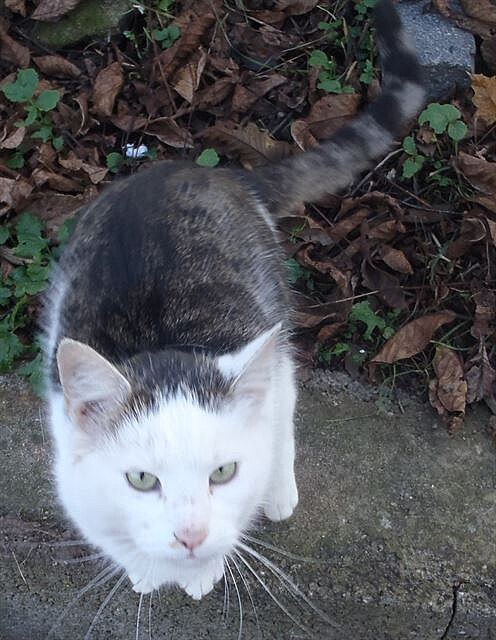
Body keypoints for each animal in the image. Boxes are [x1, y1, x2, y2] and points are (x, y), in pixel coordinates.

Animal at [45, 0, 424, 601]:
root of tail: (219, 175)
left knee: (282, 402)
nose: (191, 535)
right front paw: (146, 567)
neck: (166, 345)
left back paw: (279, 487)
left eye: (222, 473)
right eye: (141, 480)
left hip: (272, 314)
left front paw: (203, 570)